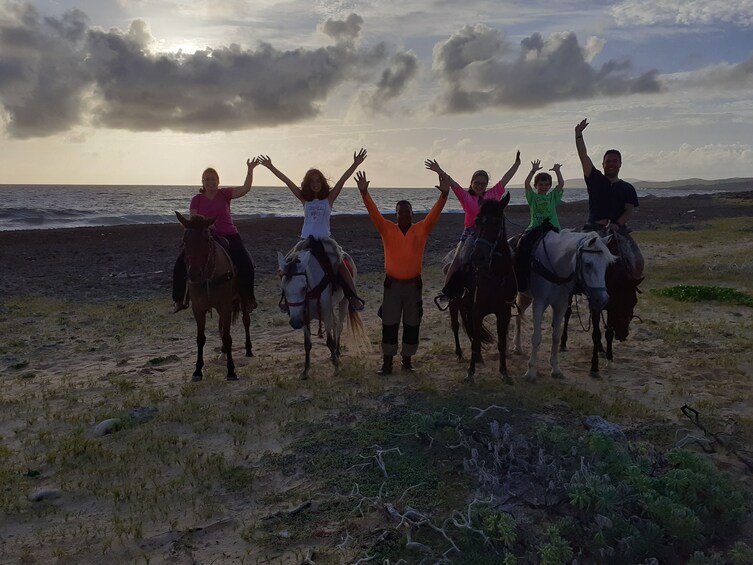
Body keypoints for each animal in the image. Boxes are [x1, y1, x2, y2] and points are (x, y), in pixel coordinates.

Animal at [176, 213, 253, 384]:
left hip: (242, 300)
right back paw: (223, 351)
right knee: (222, 326)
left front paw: (231, 371)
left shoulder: (225, 306)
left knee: (246, 321)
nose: (194, 274)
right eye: (184, 240)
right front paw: (197, 370)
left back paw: (248, 349)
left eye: (207, 240)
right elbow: (201, 338)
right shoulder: (198, 309)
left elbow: (228, 336)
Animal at [280, 242, 368, 378]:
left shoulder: (325, 313)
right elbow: (307, 344)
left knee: (339, 326)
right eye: (284, 288)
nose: (295, 322)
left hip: (344, 301)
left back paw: (337, 353)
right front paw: (305, 371)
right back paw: (333, 355)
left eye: (303, 287)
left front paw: (337, 367)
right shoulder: (304, 316)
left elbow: (329, 341)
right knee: (335, 323)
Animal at [450, 194, 516, 384]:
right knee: (456, 326)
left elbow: (501, 342)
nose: (477, 256)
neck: (495, 277)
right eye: (477, 221)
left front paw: (504, 372)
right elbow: (475, 341)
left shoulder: (504, 312)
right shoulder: (477, 310)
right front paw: (470, 373)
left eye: (496, 222)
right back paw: (459, 354)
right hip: (454, 305)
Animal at [512, 229, 616, 378]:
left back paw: (518, 347)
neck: (556, 266)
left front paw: (555, 368)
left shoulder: (560, 306)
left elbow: (556, 336)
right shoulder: (539, 303)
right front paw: (531, 370)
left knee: (518, 316)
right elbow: (536, 337)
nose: (602, 300)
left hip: (526, 297)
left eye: (607, 264)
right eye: (588, 264)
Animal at [560, 229, 640, 378]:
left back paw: (601, 349)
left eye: (634, 302)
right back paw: (563, 343)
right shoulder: (598, 306)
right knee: (567, 313)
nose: (623, 334)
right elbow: (596, 333)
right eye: (620, 301)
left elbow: (608, 333)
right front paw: (594, 367)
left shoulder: (610, 309)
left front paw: (609, 358)